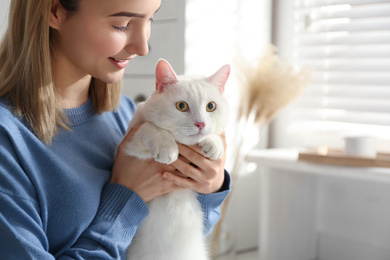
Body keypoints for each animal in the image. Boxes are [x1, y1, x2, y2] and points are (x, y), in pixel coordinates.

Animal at [125, 59, 230, 260]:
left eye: (210, 106)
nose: (201, 124)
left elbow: (216, 134)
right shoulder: (130, 145)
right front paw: (166, 147)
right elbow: (150, 127)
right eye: (182, 106)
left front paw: (214, 143)